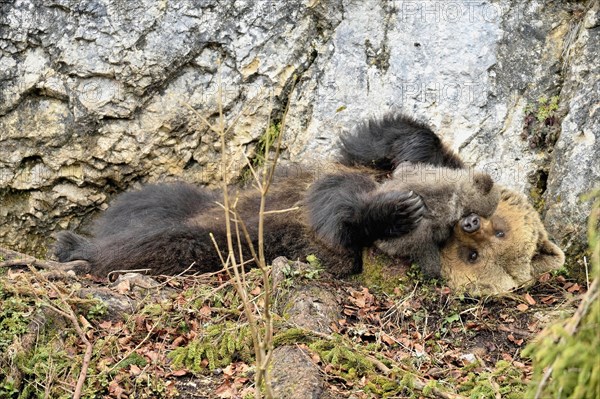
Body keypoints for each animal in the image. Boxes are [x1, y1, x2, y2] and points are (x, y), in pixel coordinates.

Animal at [54, 114, 496, 280]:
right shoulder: (355, 161)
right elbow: (389, 135)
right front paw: (412, 165)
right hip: (202, 202)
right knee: (148, 206)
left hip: (242, 236)